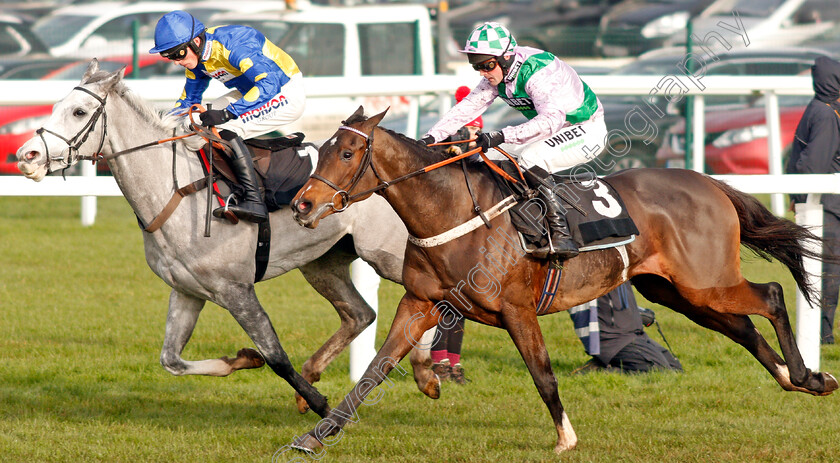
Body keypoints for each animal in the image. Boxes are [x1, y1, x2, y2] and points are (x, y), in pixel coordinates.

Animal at [14, 59, 440, 418]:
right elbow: (171, 360)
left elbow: (276, 356)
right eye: (56, 106)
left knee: (428, 298)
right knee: (361, 313)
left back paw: (422, 370)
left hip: (388, 255)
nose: (26, 156)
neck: (177, 191)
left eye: (79, 112)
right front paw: (245, 359)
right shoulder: (187, 291)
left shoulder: (236, 290)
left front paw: (320, 404)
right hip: (323, 263)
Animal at [288, 106, 832, 456]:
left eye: (347, 153)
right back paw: (798, 379)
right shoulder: (420, 302)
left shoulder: (517, 308)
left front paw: (565, 437)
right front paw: (316, 434)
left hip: (706, 282)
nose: (302, 205)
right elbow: (375, 369)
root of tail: (709, 182)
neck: (453, 212)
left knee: (772, 295)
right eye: (323, 150)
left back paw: (807, 374)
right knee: (743, 328)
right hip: (679, 291)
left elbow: (543, 374)